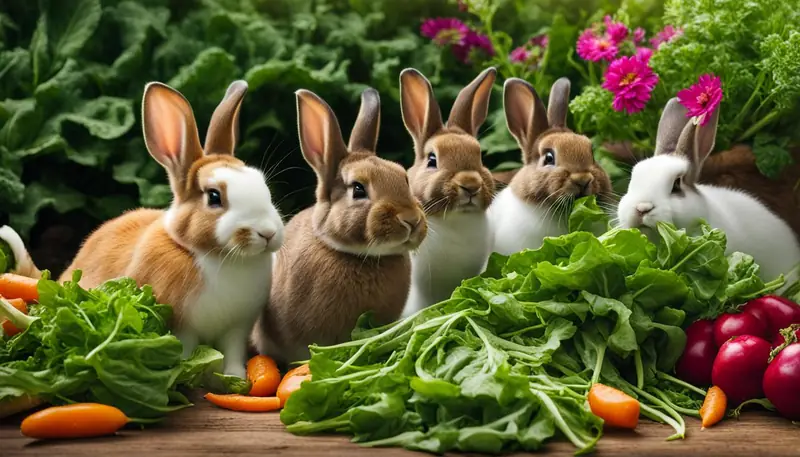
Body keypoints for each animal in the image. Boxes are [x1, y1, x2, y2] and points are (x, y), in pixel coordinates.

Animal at [0, 80, 285, 378]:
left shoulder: (237, 328)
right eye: (214, 196)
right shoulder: (182, 327)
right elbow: (185, 351)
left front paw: (235, 378)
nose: (267, 233)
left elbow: (232, 354)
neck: (214, 256)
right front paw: (187, 373)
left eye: (262, 183)